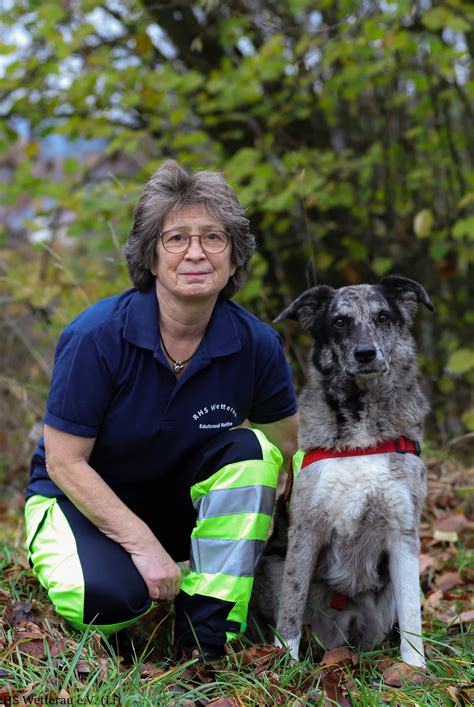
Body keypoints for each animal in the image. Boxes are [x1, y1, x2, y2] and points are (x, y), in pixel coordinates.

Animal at [252, 276, 434, 668]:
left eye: (383, 317)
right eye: (339, 321)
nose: (365, 353)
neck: (362, 433)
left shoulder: (403, 532)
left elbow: (412, 612)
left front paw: (414, 669)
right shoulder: (306, 528)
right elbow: (291, 604)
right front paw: (285, 666)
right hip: (271, 566)